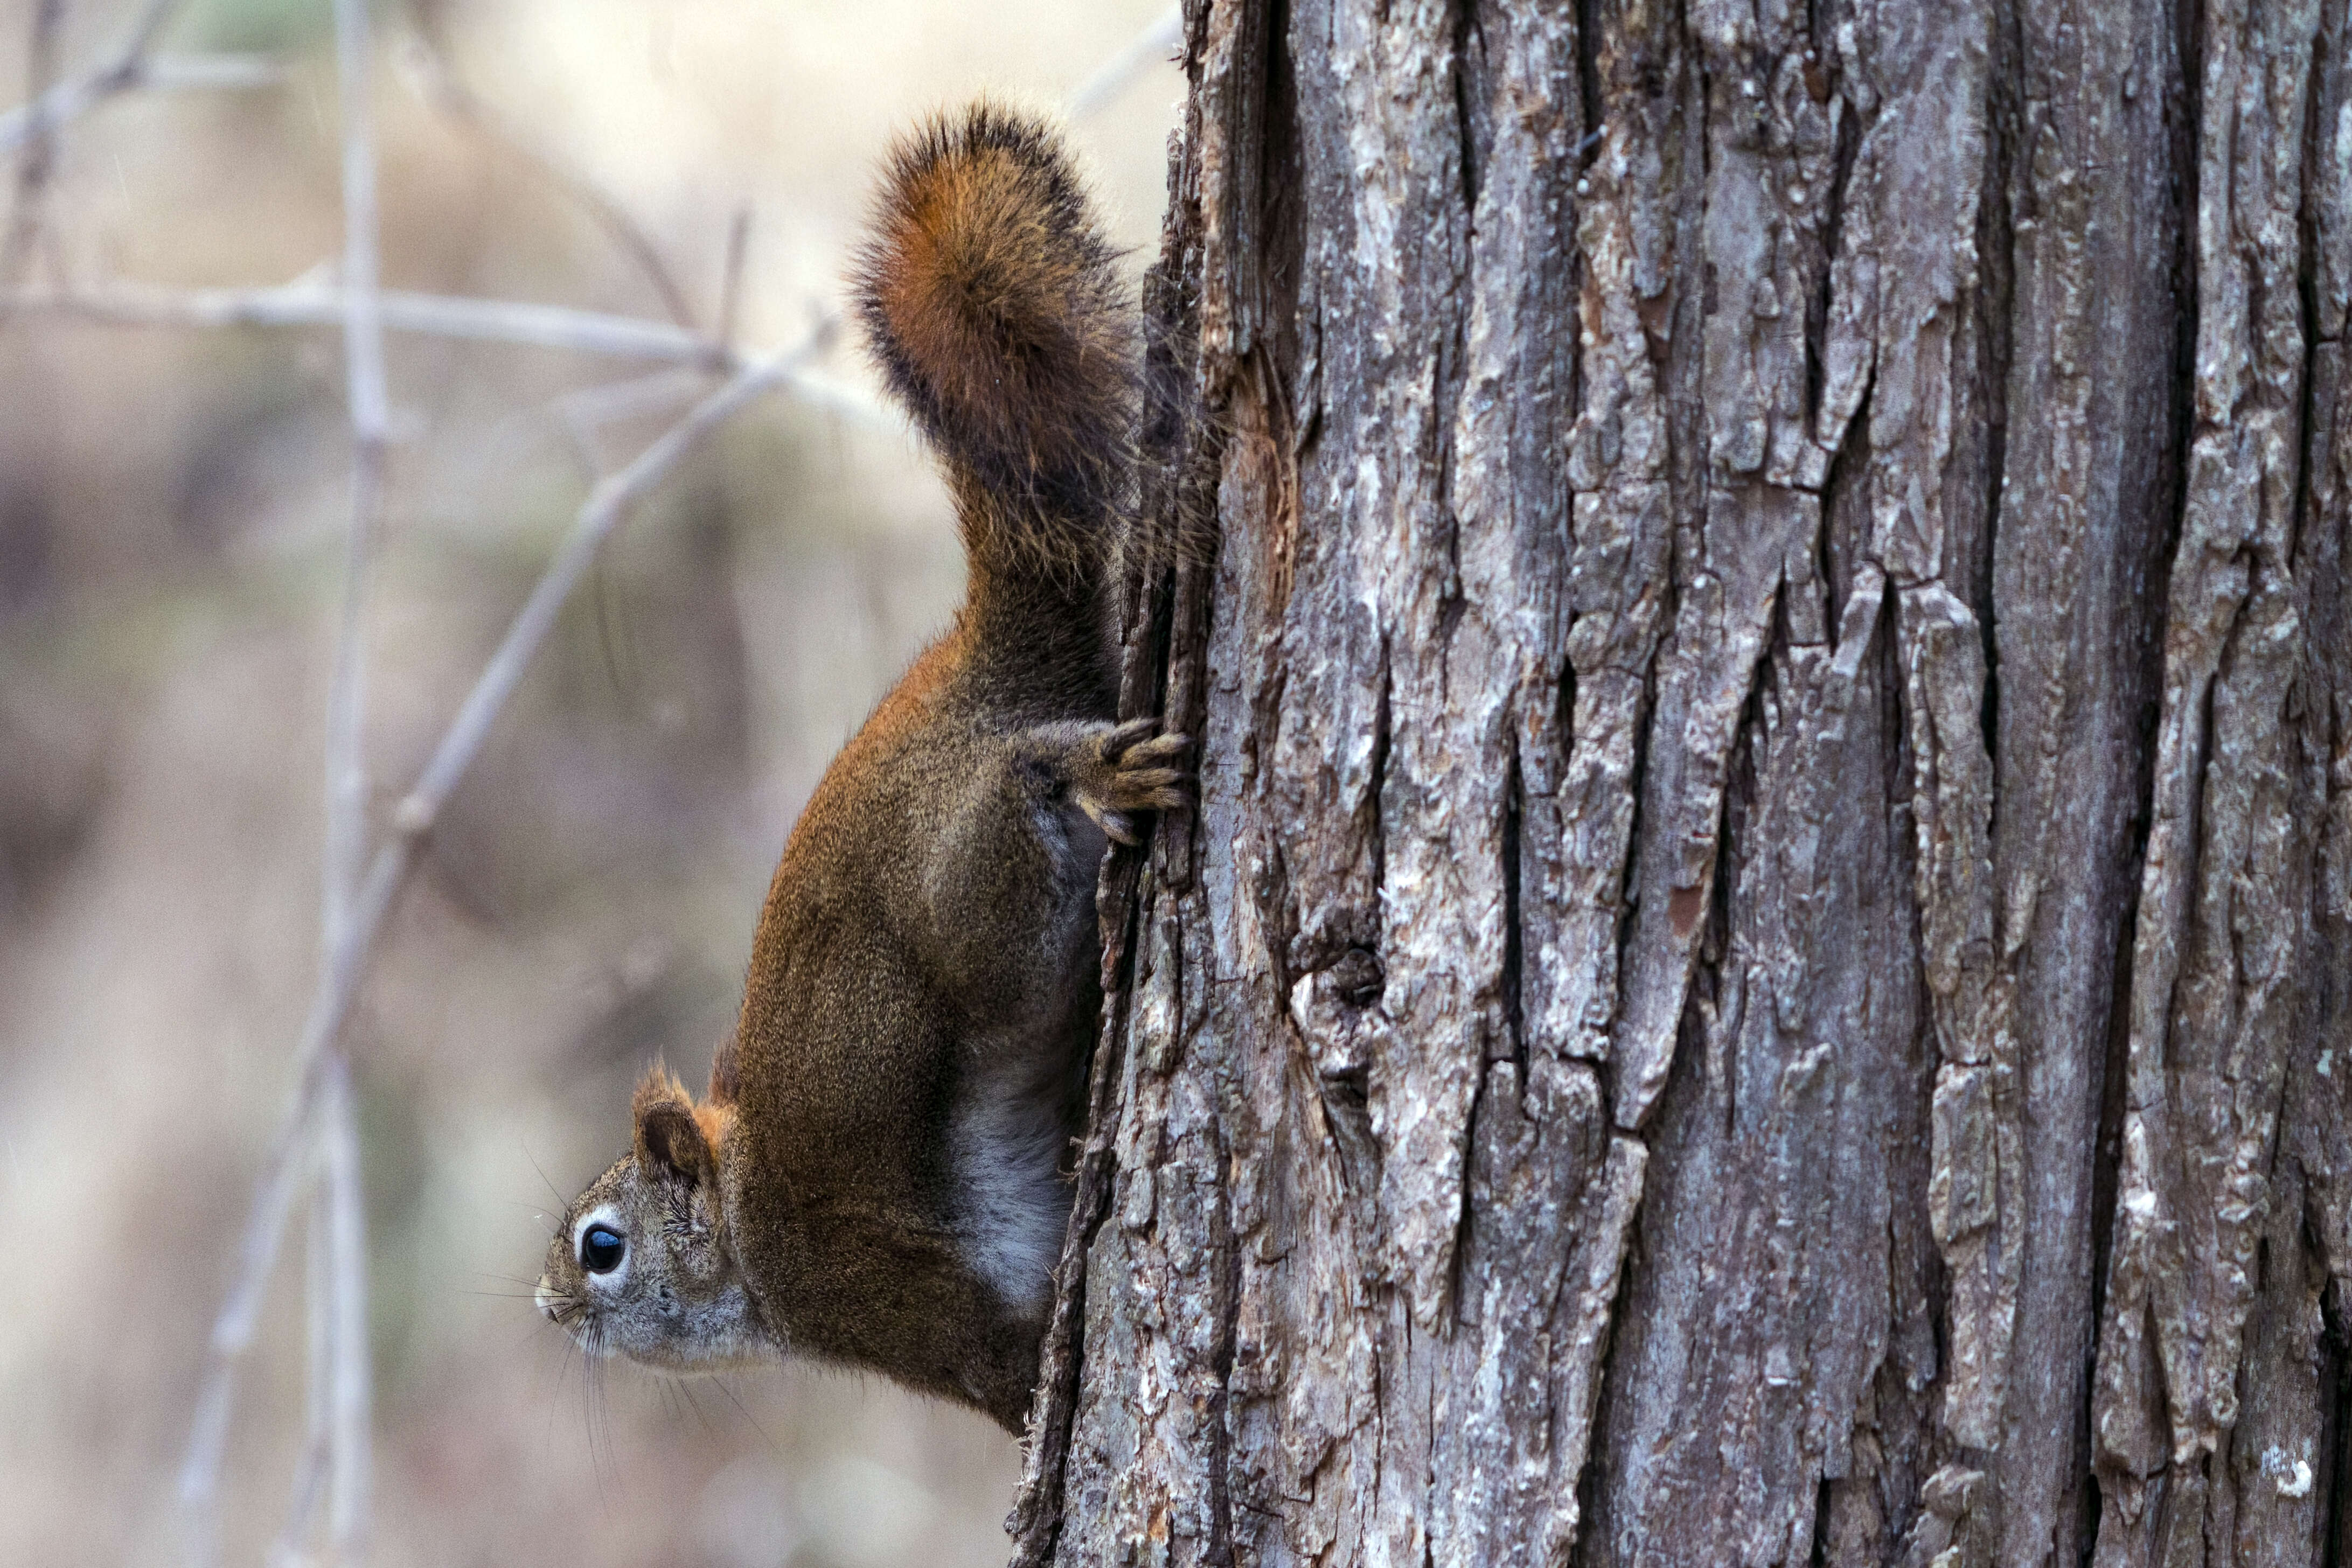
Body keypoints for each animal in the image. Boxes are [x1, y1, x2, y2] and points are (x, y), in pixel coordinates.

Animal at [538, 104, 1185, 1438]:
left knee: (1020, 787)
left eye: (601, 1247)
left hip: (972, 899)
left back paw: (1089, 769)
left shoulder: (872, 1288)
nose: (546, 1310)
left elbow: (995, 1359)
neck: (741, 1239)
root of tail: (973, 665)